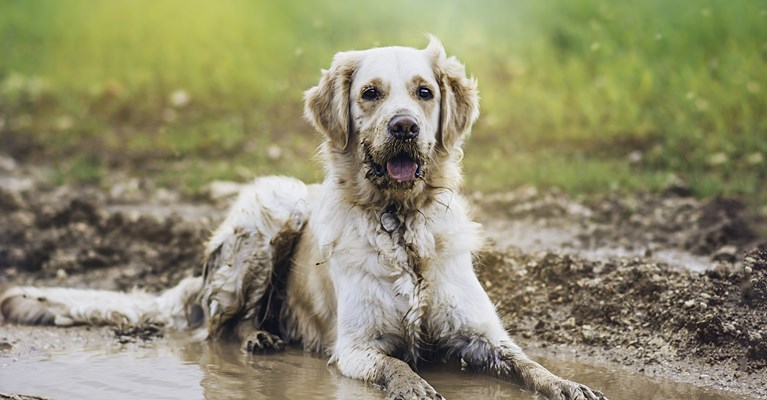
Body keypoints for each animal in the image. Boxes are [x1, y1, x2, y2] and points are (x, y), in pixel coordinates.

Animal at [0, 37, 608, 400]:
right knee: (216, 331)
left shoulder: (480, 334)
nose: (406, 126)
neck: (401, 223)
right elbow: (399, 366)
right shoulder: (357, 347)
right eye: (370, 94)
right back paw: (260, 339)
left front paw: (567, 384)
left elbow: (527, 362)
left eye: (424, 92)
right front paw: (414, 386)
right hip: (272, 213)